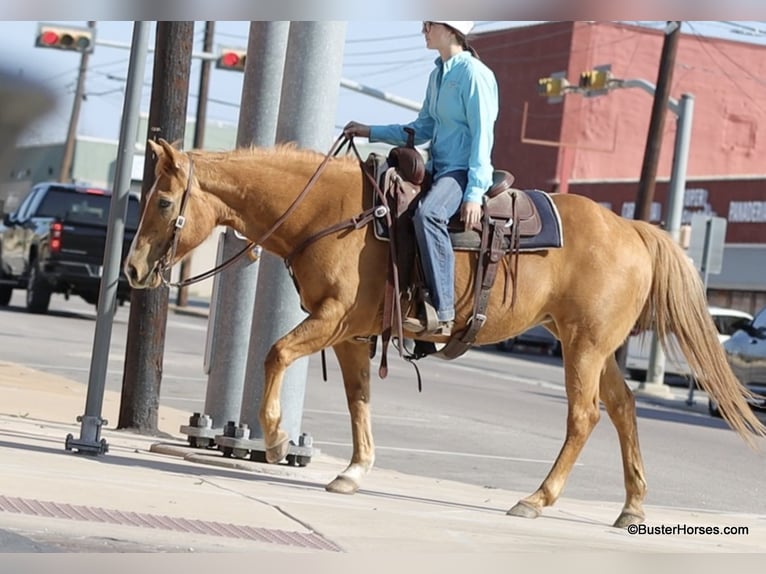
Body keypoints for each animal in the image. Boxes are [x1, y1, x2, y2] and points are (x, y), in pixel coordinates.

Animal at [125, 138, 765, 528]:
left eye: (162, 200)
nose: (131, 270)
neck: (331, 214)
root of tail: (633, 229)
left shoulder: (334, 319)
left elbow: (276, 352)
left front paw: (279, 440)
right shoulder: (353, 335)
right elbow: (358, 399)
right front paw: (353, 471)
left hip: (583, 347)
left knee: (584, 416)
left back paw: (537, 499)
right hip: (594, 345)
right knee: (625, 407)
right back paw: (631, 507)